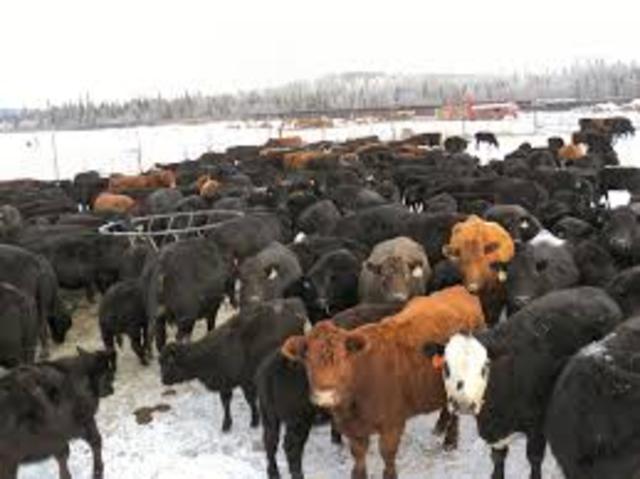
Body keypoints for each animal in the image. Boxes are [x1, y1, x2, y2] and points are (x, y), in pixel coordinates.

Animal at [160, 298, 307, 432]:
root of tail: (296, 308)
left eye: (169, 362)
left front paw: (253, 421)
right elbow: (226, 402)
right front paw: (228, 424)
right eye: (160, 361)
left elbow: (248, 400)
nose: (163, 380)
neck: (213, 352)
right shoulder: (225, 383)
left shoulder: (244, 381)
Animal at [282, 286, 485, 479]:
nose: (325, 396)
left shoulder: (392, 423)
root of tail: (459, 290)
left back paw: (450, 441)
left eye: (342, 360)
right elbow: (358, 456)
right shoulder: (353, 428)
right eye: (307, 360)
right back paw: (440, 427)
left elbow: (387, 454)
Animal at [424, 287, 622, 479]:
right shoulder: (495, 431)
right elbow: (498, 459)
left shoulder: (537, 423)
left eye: (485, 366)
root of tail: (597, 291)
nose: (463, 404)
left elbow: (534, 458)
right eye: (446, 366)